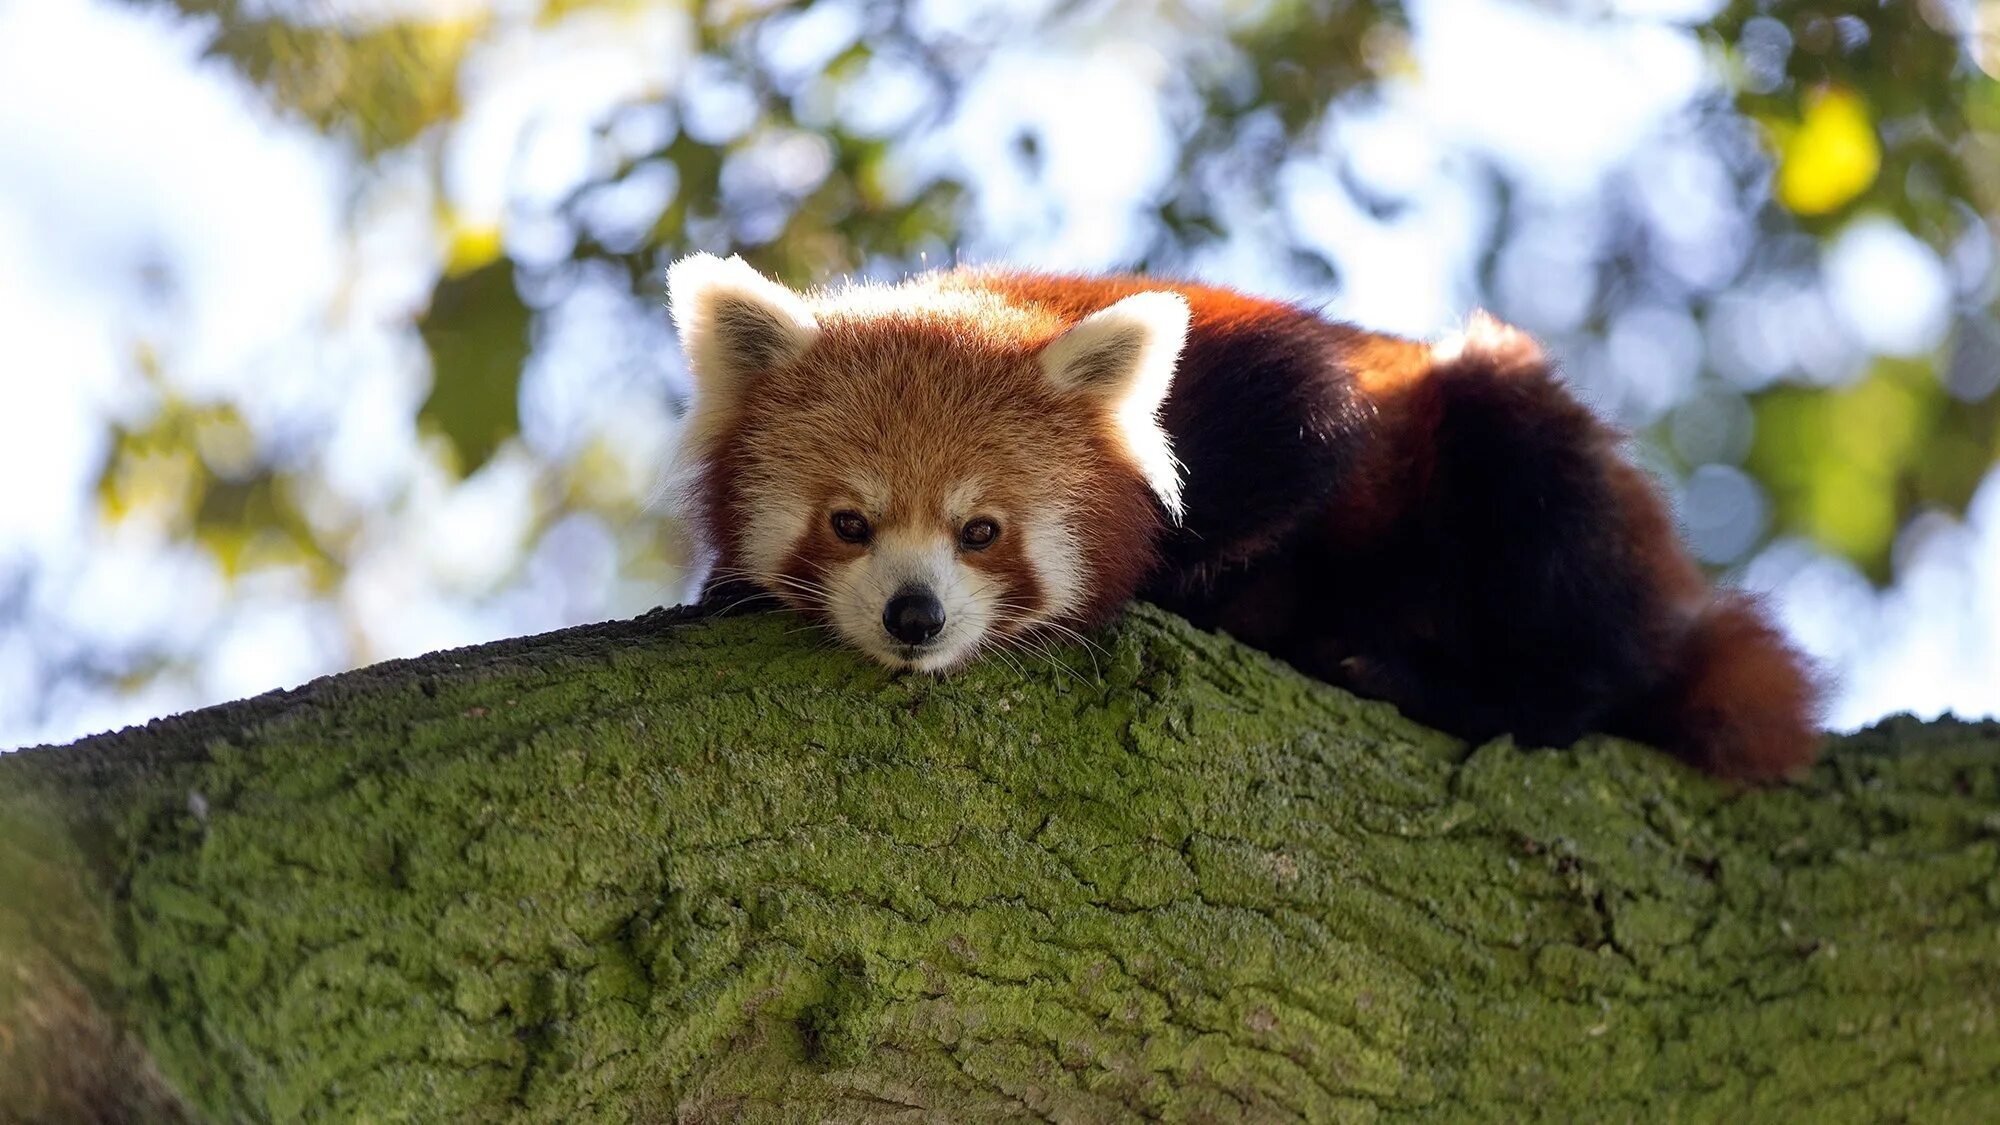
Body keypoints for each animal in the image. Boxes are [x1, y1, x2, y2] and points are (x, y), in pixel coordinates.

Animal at [664, 254, 1824, 780]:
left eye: (980, 531)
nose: (915, 617)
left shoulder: (1260, 386)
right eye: (849, 524)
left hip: (1534, 466)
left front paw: (1182, 590)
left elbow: (1312, 431)